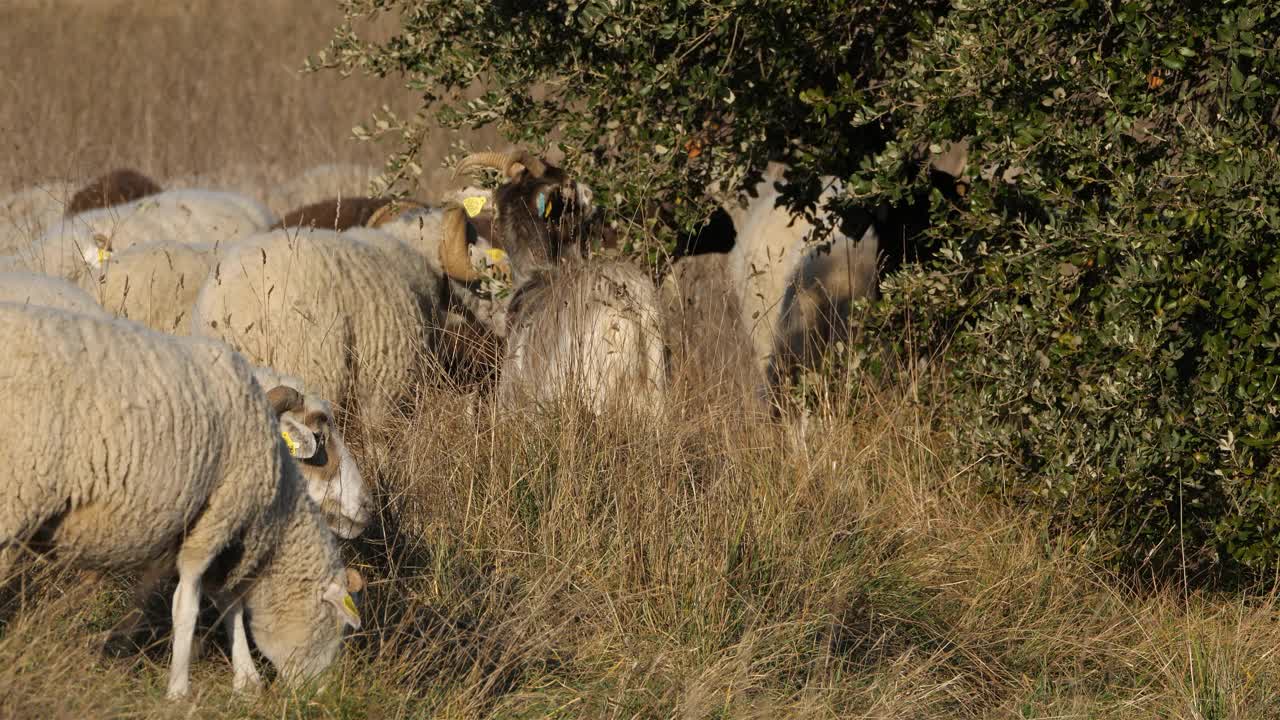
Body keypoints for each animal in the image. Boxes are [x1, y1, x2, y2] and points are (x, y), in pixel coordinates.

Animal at [0, 302, 363, 696]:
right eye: (334, 625)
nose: (320, 696)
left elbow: (227, 600)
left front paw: (245, 679)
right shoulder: (215, 519)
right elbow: (187, 604)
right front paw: (179, 688)